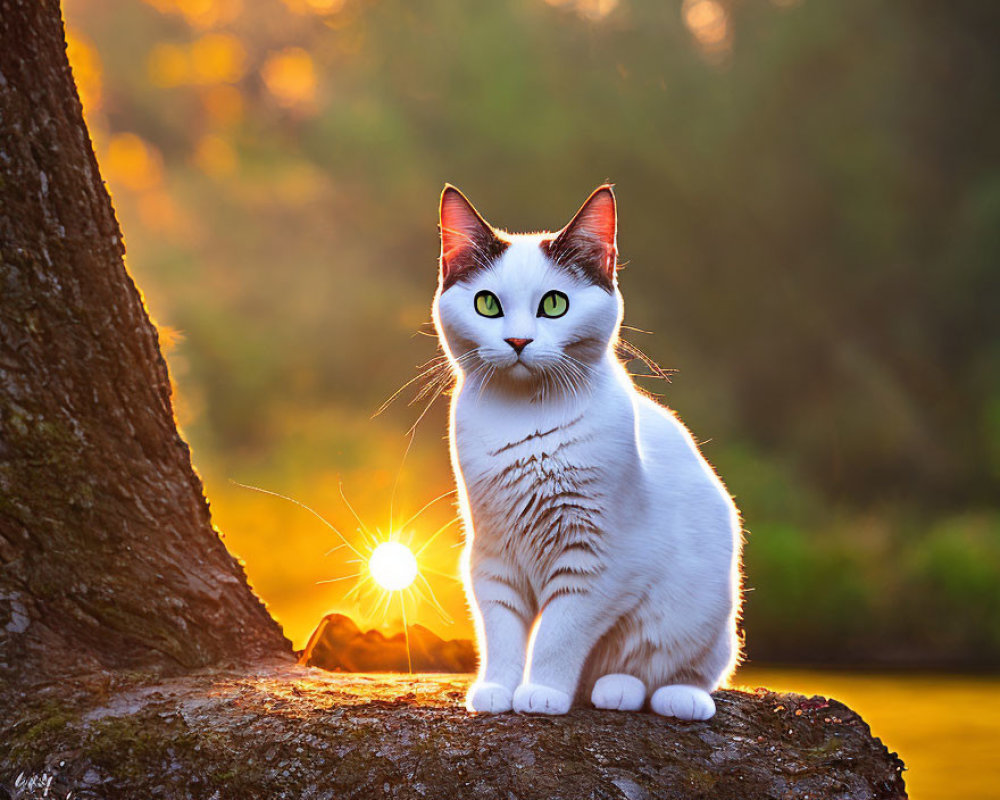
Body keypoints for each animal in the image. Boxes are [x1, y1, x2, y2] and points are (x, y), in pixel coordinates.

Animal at [432, 184, 744, 720]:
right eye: (487, 305)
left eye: (555, 305)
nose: (518, 340)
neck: (525, 420)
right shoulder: (492, 557)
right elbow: (502, 634)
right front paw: (497, 689)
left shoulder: (596, 565)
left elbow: (558, 635)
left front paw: (542, 693)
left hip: (707, 618)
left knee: (678, 673)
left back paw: (658, 696)